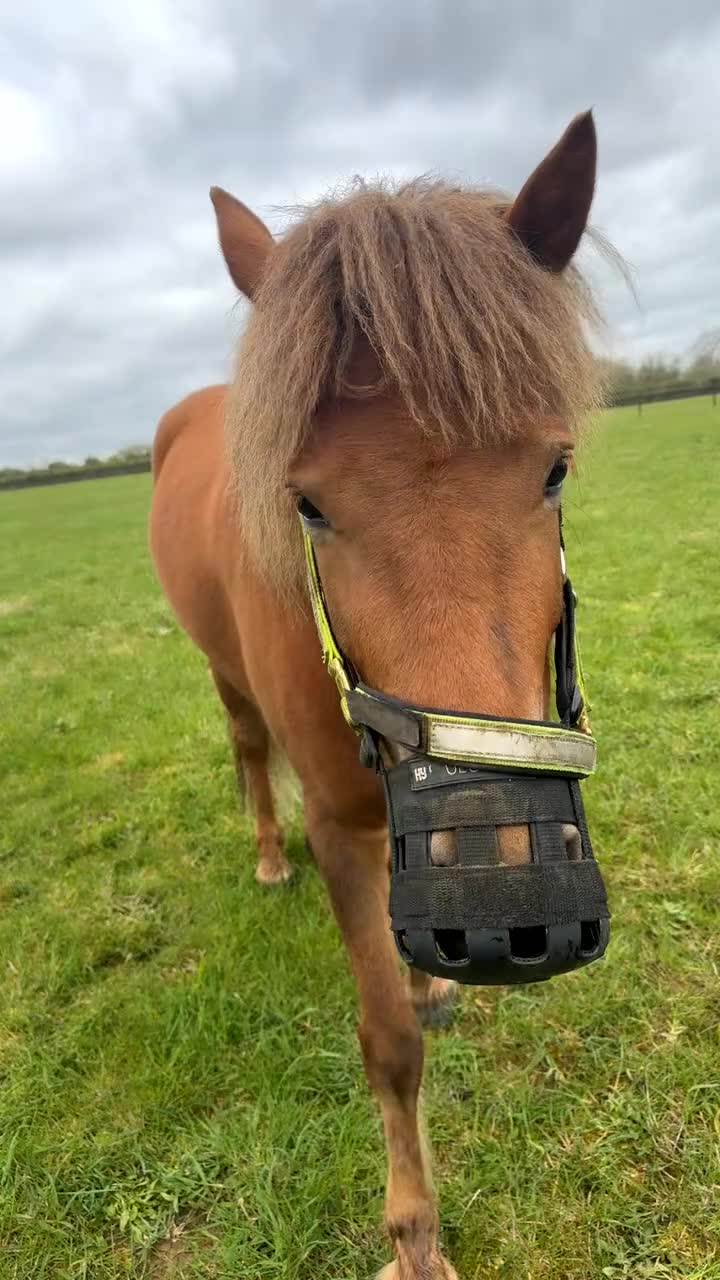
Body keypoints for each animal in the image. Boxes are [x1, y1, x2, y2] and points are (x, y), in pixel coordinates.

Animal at [150, 110, 606, 1279]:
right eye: (306, 503)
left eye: (556, 469)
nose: (506, 903)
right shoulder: (344, 831)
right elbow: (387, 1042)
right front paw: (414, 1236)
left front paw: (435, 982)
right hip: (223, 681)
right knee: (245, 750)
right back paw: (268, 860)